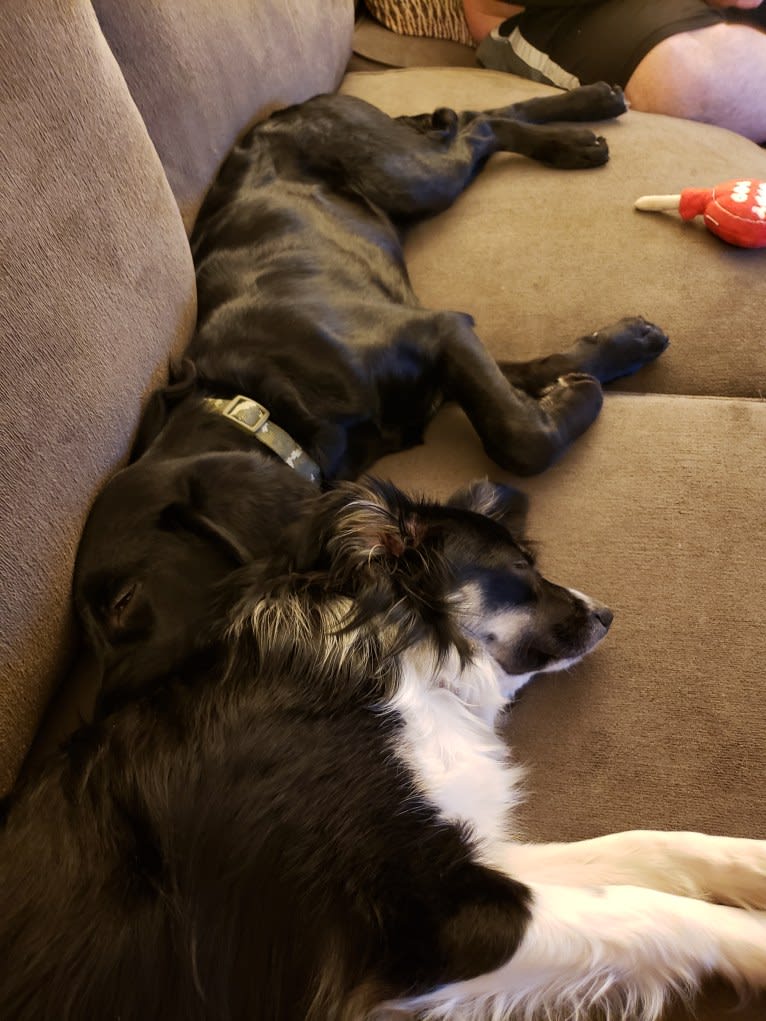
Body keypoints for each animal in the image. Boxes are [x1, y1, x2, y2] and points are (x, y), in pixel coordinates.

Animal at [4, 477, 766, 1021]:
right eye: (521, 567)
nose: (605, 613)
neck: (407, 663)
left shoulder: (466, 851)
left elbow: (647, 849)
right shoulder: (426, 918)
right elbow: (651, 910)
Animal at [75, 83, 669, 698]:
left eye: (123, 602)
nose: (98, 711)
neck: (261, 403)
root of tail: (302, 104)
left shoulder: (440, 331)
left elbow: (519, 437)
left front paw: (593, 380)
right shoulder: (447, 349)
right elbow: (527, 383)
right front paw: (607, 357)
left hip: (408, 176)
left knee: (477, 126)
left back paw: (579, 129)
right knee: (469, 122)